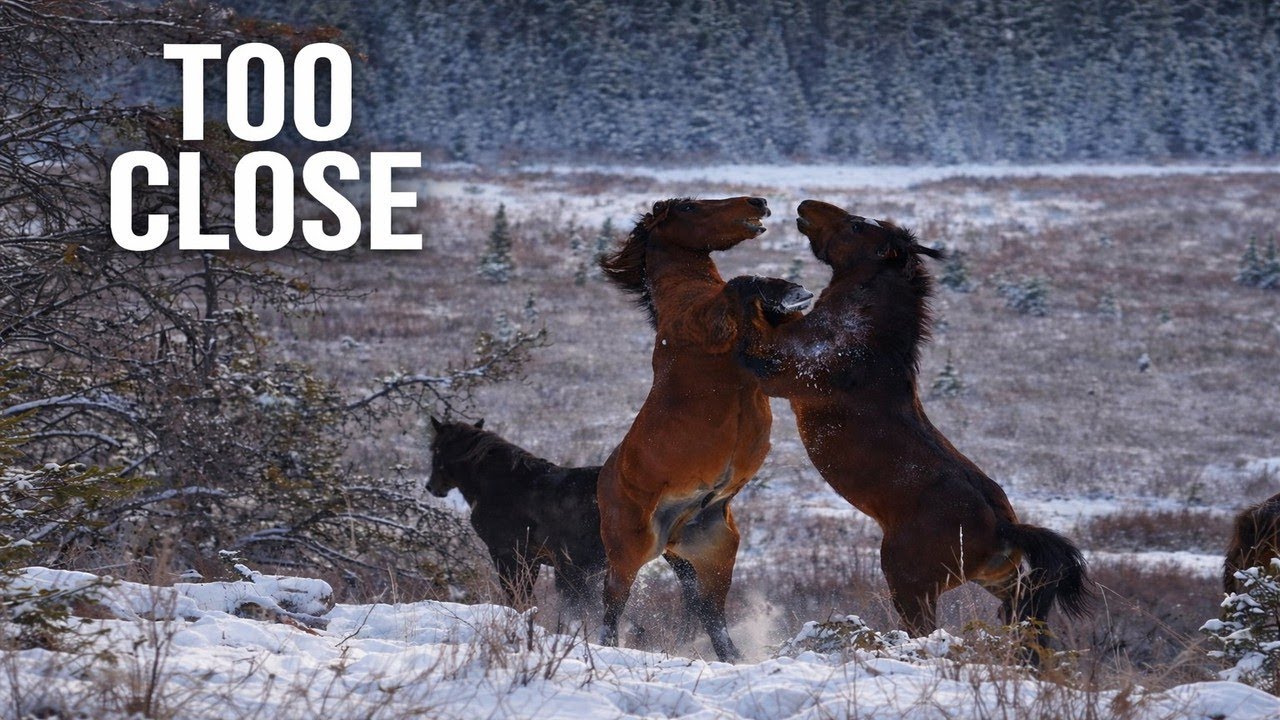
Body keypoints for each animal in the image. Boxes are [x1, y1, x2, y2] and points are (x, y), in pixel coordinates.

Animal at [595, 196, 812, 662]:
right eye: (692, 207)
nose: (759, 203)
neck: (683, 298)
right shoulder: (709, 329)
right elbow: (739, 285)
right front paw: (788, 291)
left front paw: (789, 294)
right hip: (630, 549)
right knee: (613, 603)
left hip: (713, 552)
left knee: (709, 610)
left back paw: (734, 657)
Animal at [731, 199, 1093, 658]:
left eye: (856, 226)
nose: (804, 206)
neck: (860, 339)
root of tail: (1002, 527)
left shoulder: (786, 372)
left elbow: (753, 341)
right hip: (995, 578)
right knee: (1023, 608)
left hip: (908, 580)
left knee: (923, 627)